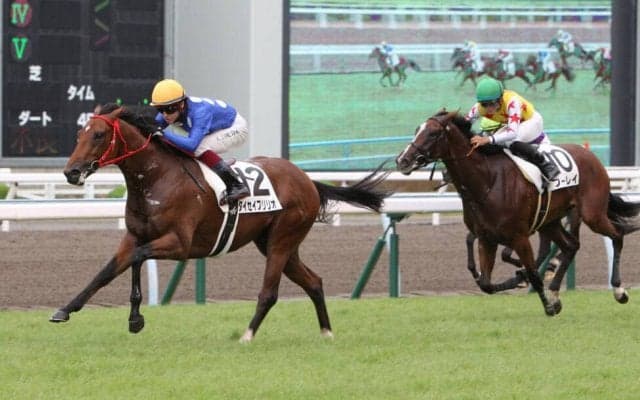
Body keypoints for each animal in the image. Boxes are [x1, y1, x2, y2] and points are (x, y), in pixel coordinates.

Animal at [50, 103, 392, 342]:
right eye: (79, 134)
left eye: (98, 134)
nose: (71, 172)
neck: (156, 178)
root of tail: (307, 180)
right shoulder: (134, 236)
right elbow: (106, 272)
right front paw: (65, 310)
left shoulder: (179, 244)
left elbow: (137, 259)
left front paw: (135, 319)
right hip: (276, 243)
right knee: (314, 281)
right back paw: (326, 332)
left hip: (283, 238)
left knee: (269, 293)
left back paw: (247, 336)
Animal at [396, 110, 640, 315]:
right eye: (417, 129)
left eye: (433, 133)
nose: (402, 160)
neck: (486, 182)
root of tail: (591, 156)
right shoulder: (486, 238)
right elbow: (486, 283)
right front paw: (520, 282)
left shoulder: (519, 236)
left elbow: (532, 273)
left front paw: (547, 305)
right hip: (550, 222)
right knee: (571, 246)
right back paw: (555, 291)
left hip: (592, 214)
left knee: (617, 235)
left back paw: (619, 290)